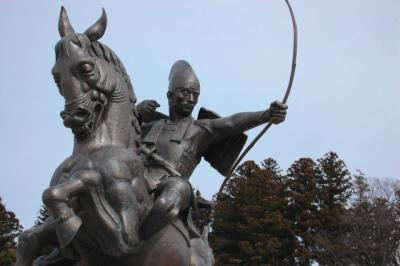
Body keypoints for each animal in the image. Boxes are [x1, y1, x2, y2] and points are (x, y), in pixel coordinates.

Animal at [17, 6, 202, 266]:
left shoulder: (126, 238)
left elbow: (88, 180)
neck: (96, 148)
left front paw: (69, 220)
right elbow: (29, 237)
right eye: (56, 75)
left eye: (86, 67)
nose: (74, 116)